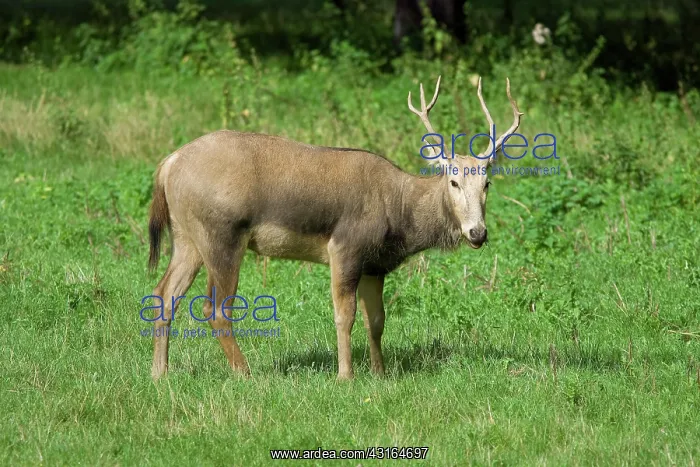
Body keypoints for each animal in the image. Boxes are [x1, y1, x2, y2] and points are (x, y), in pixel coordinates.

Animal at [146, 76, 522, 380]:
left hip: (186, 236)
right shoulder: (345, 246)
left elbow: (377, 320)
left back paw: (159, 373)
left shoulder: (375, 265)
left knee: (165, 293)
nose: (478, 233)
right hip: (222, 232)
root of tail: (167, 165)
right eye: (454, 180)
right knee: (215, 308)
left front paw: (380, 373)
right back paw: (245, 373)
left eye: (487, 183)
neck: (399, 215)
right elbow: (345, 315)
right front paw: (346, 375)